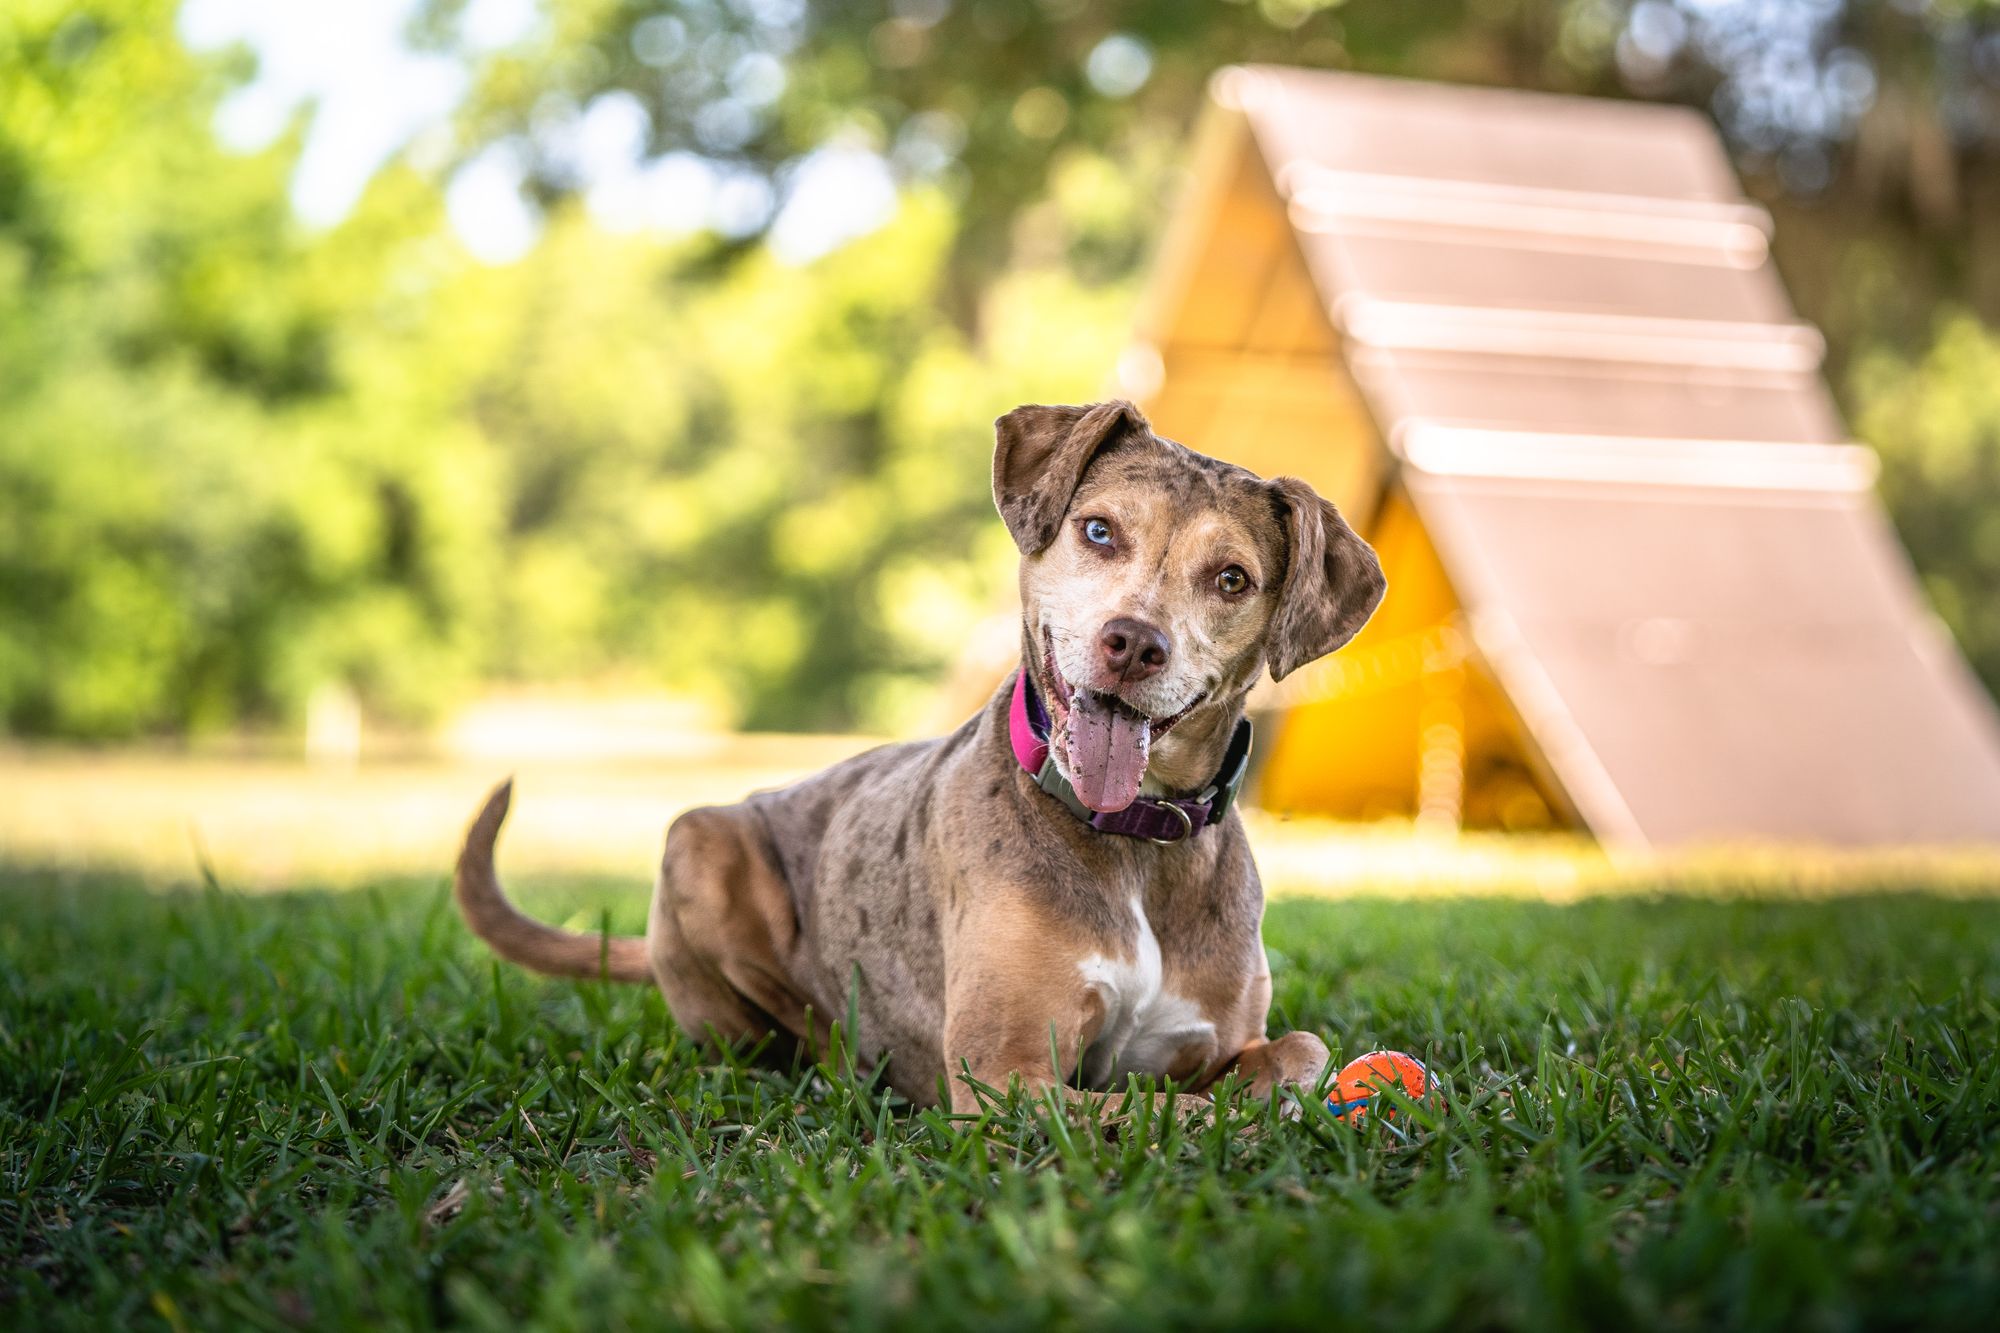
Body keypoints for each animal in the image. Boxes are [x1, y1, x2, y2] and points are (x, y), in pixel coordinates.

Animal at [458, 396, 1384, 1112]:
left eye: (1232, 578)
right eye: (1098, 530)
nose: (1133, 644)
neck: (1132, 840)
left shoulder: (1220, 1036)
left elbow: (1301, 1048)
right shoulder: (1006, 1077)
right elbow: (1161, 1110)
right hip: (701, 842)